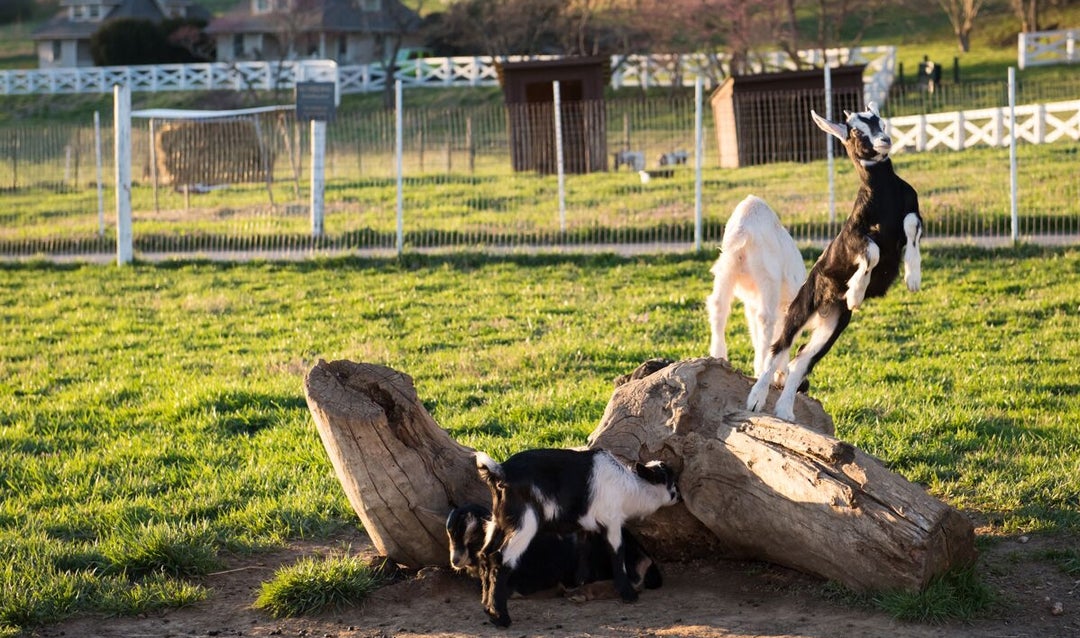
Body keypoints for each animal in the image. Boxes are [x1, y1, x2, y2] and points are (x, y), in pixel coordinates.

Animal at [473, 449, 673, 630]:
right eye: (669, 478)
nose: (677, 496)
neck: (629, 489)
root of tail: (501, 471)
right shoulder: (613, 520)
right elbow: (617, 553)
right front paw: (628, 595)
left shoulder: (587, 525)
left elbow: (584, 551)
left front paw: (581, 582)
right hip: (524, 522)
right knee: (500, 559)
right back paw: (501, 618)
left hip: (498, 521)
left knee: (484, 555)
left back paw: (487, 607)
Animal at [747, 103, 924, 425]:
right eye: (856, 131)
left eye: (879, 122)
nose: (884, 141)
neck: (883, 195)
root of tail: (824, 304)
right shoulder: (855, 235)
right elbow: (872, 251)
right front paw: (856, 291)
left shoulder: (912, 211)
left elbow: (910, 227)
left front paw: (912, 277)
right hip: (801, 308)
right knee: (779, 349)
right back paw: (755, 400)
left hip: (833, 326)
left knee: (801, 362)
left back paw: (785, 411)